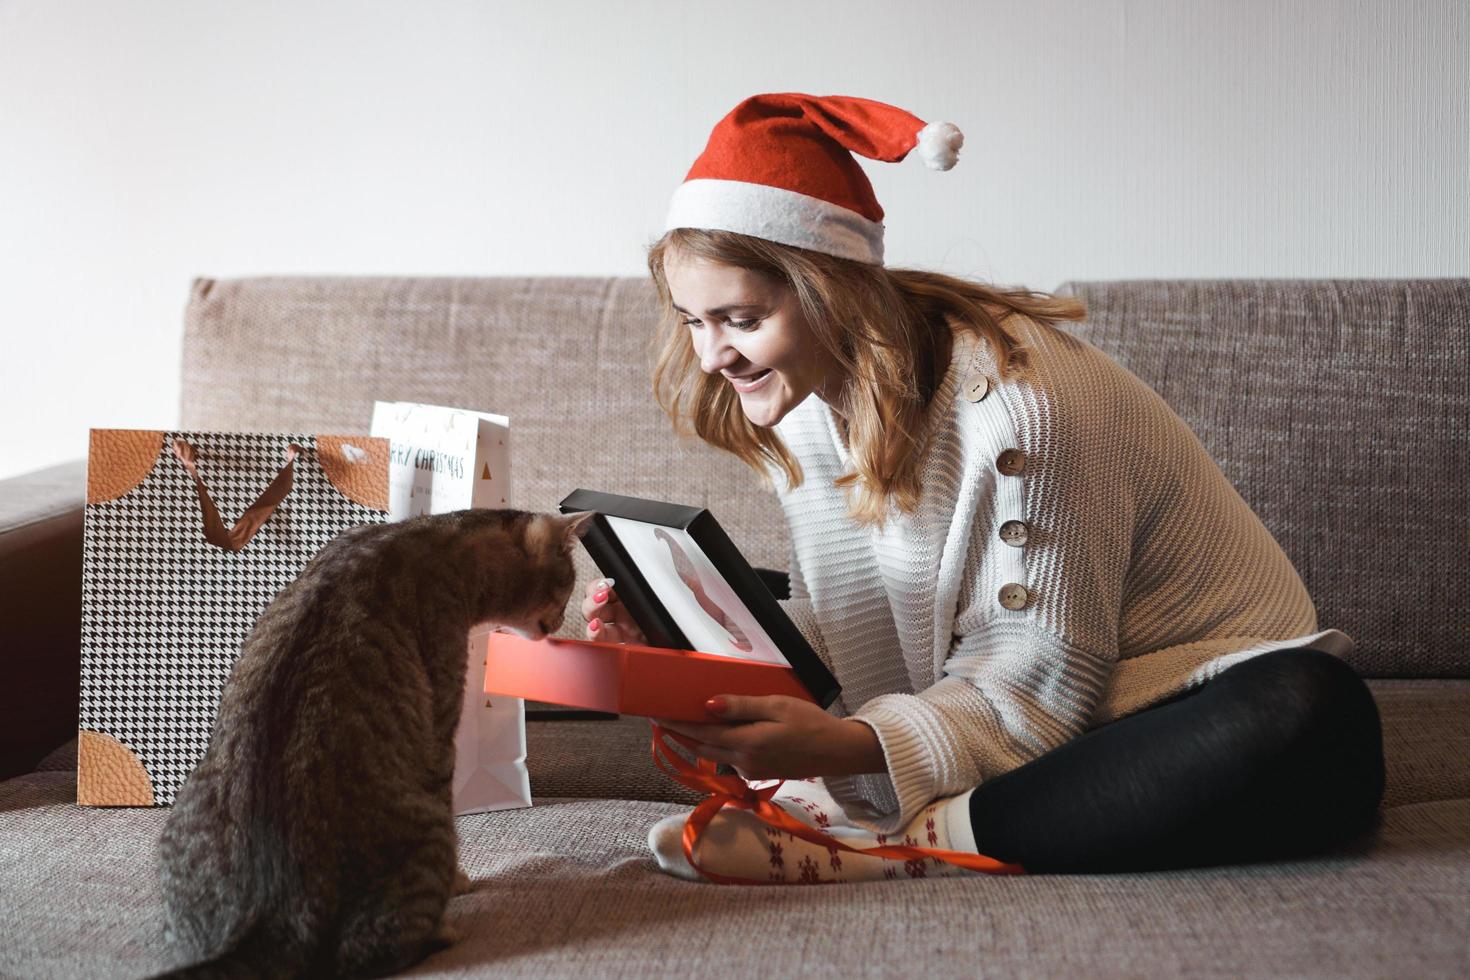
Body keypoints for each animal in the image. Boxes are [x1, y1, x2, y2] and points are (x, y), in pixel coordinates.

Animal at [155, 511, 596, 975]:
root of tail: (272, 919)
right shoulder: (440, 726)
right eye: (568, 585)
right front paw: (458, 884)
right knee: (371, 953)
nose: (562, 623)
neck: (445, 541)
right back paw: (443, 931)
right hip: (429, 835)